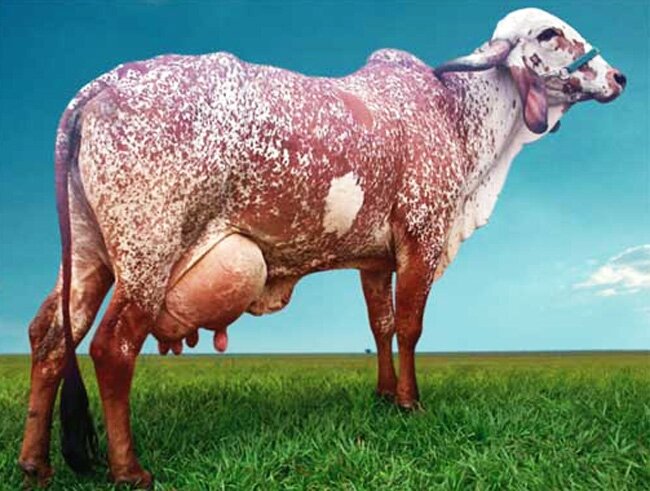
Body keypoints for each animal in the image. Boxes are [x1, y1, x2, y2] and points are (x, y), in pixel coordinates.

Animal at [19, 8, 625, 488]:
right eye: (550, 33)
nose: (618, 76)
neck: (456, 116)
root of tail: (100, 85)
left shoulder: (376, 260)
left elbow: (381, 326)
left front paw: (384, 396)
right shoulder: (421, 240)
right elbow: (410, 327)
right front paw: (411, 402)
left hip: (88, 257)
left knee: (49, 337)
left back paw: (35, 464)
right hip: (148, 250)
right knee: (112, 347)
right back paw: (129, 469)